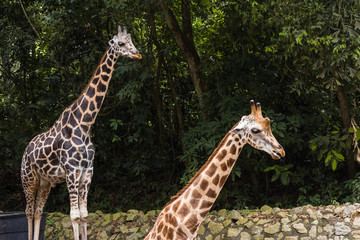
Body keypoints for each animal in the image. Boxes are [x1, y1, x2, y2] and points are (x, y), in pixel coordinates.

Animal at [20, 25, 142, 239]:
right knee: (28, 211)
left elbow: (85, 215)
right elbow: (74, 216)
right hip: (28, 178)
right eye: (120, 43)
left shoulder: (87, 173)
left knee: (37, 211)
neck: (84, 125)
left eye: (131, 41)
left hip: (45, 182)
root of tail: (26, 151)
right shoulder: (71, 171)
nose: (138, 54)